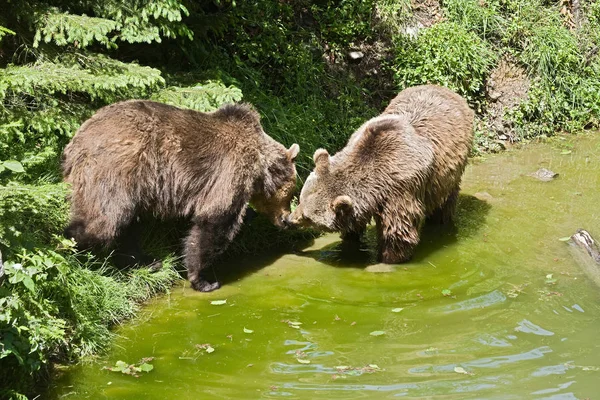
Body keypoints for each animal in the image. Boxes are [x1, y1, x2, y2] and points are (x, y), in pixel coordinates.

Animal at [63, 98, 300, 292]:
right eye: (291, 194)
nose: (287, 219)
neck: (260, 168)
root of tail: (76, 141)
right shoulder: (228, 172)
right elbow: (214, 222)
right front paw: (204, 280)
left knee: (127, 226)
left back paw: (147, 261)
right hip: (117, 170)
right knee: (104, 221)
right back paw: (71, 246)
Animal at [288, 85, 476, 262]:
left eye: (307, 217)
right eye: (300, 199)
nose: (289, 220)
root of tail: (445, 89)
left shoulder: (401, 190)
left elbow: (398, 231)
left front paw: (388, 258)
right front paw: (350, 242)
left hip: (448, 172)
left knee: (445, 198)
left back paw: (440, 221)